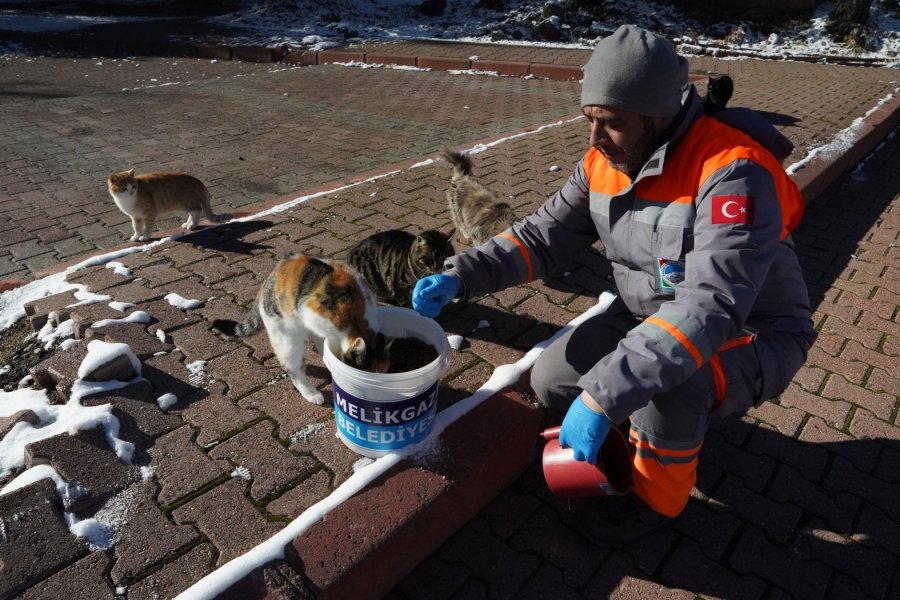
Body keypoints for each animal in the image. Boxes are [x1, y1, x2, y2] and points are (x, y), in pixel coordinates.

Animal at [214, 251, 394, 406]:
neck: (359, 319)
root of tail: (268, 280)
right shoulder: (311, 312)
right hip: (286, 337)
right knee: (294, 369)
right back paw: (311, 394)